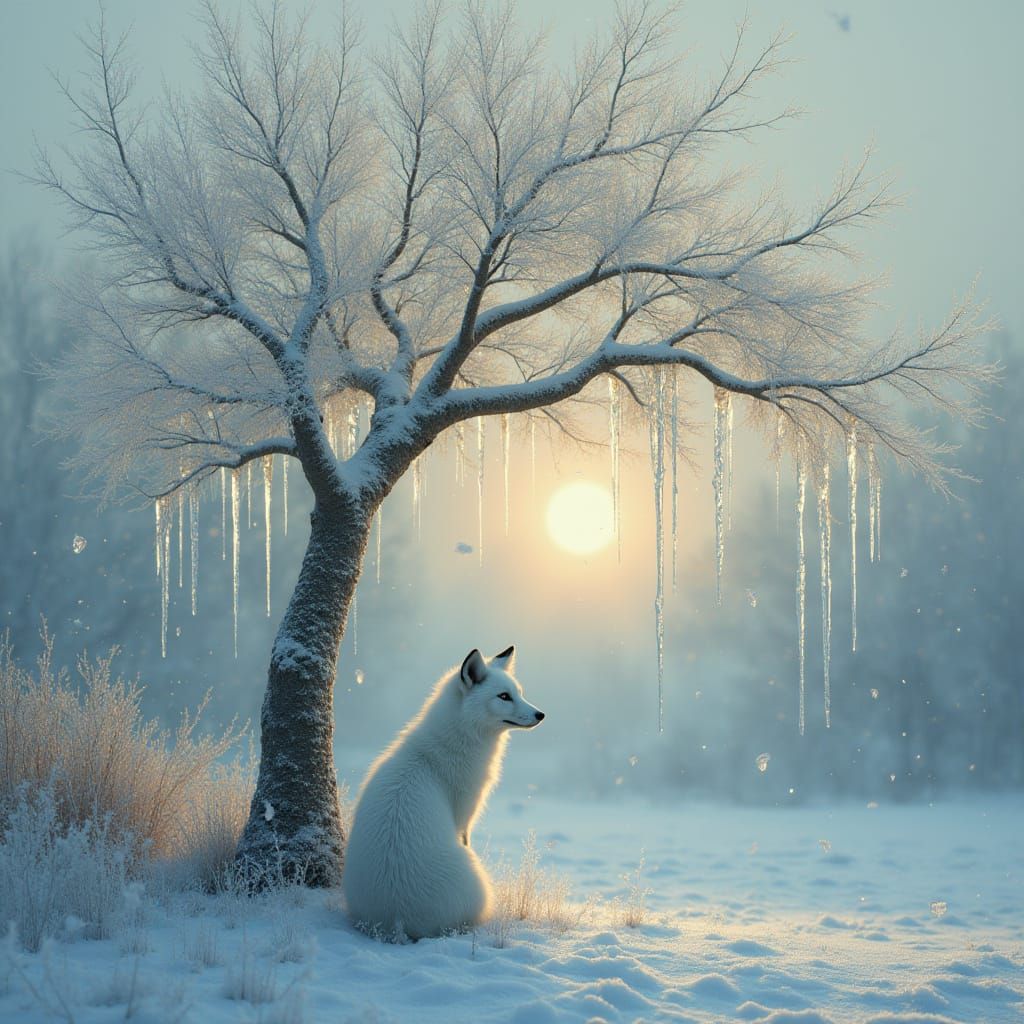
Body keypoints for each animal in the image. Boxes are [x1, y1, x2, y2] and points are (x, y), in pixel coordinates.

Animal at [342, 646, 544, 940]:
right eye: (504, 696)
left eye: (519, 692)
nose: (541, 714)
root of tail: (397, 922)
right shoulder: (464, 816)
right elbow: (466, 836)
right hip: (476, 876)